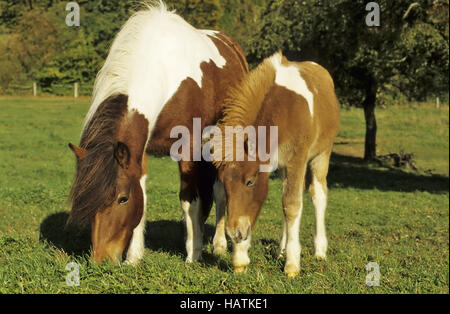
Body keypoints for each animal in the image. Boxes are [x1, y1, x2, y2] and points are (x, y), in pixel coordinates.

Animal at [67, 3, 248, 264]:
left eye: (122, 198)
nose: (102, 260)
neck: (161, 71)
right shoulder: (138, 151)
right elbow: (143, 198)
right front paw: (134, 258)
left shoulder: (188, 148)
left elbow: (189, 200)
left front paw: (193, 255)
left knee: (220, 192)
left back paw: (218, 244)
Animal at [211, 52, 338, 278]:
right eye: (225, 183)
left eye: (250, 182)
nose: (235, 233)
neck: (282, 110)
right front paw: (240, 258)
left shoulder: (297, 161)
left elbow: (292, 205)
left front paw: (292, 265)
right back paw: (281, 249)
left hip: (322, 154)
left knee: (318, 195)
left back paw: (319, 251)